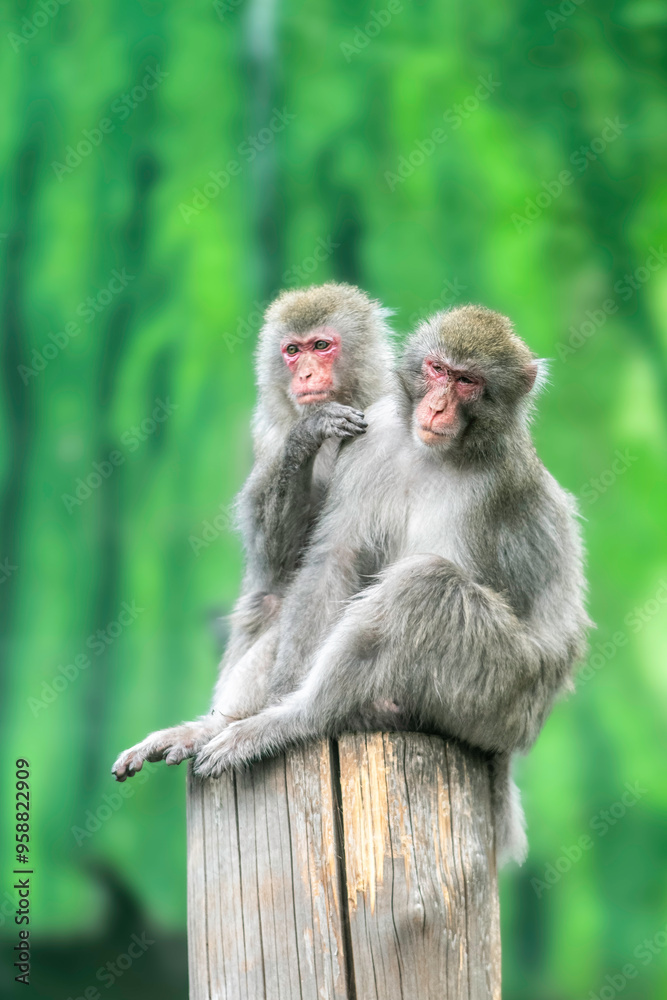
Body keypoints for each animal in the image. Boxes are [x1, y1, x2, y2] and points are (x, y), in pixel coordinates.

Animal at [112, 283, 395, 781]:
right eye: (292, 351)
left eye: (322, 345)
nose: (305, 373)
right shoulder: (268, 436)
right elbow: (276, 565)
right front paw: (309, 434)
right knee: (269, 600)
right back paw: (209, 728)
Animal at [192, 305, 590, 864]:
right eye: (437, 369)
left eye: (468, 382)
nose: (438, 406)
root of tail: (512, 743)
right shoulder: (373, 433)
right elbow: (334, 559)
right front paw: (280, 691)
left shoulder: (495, 489)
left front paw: (290, 714)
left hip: (505, 693)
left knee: (425, 584)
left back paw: (305, 718)